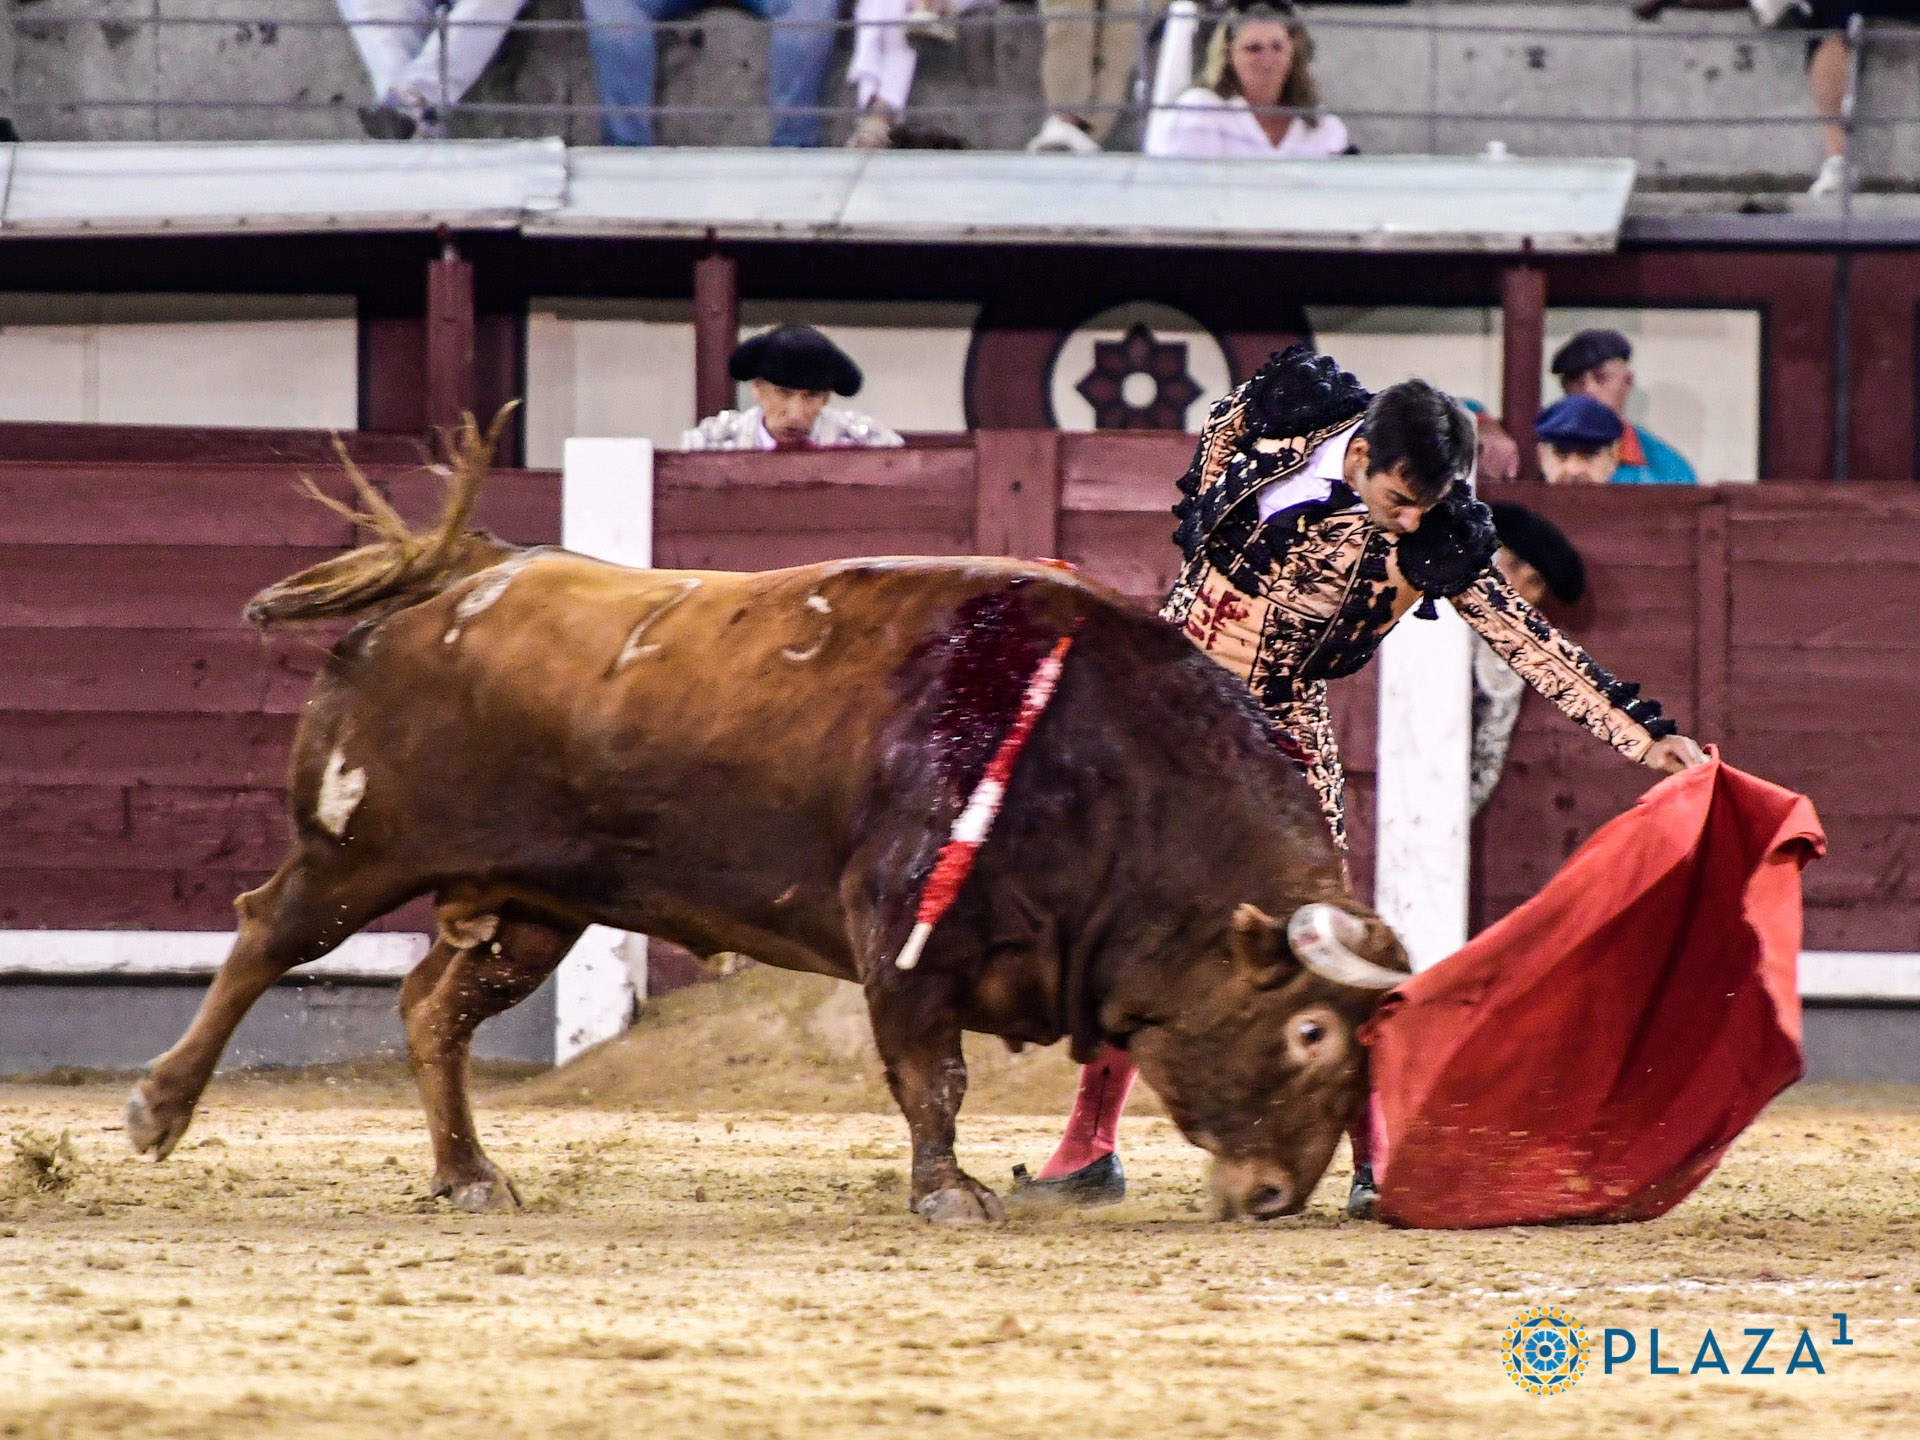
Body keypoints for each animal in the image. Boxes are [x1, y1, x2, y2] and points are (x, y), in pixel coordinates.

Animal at [123, 432, 1413, 1228]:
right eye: (1309, 1032)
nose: (1275, 1195)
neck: (1095, 761)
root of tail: (467, 573)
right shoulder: (904, 935)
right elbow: (931, 1075)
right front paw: (949, 1195)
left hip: (535, 904)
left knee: (433, 1008)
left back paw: (469, 1174)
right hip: (360, 846)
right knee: (264, 939)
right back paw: (157, 1110)